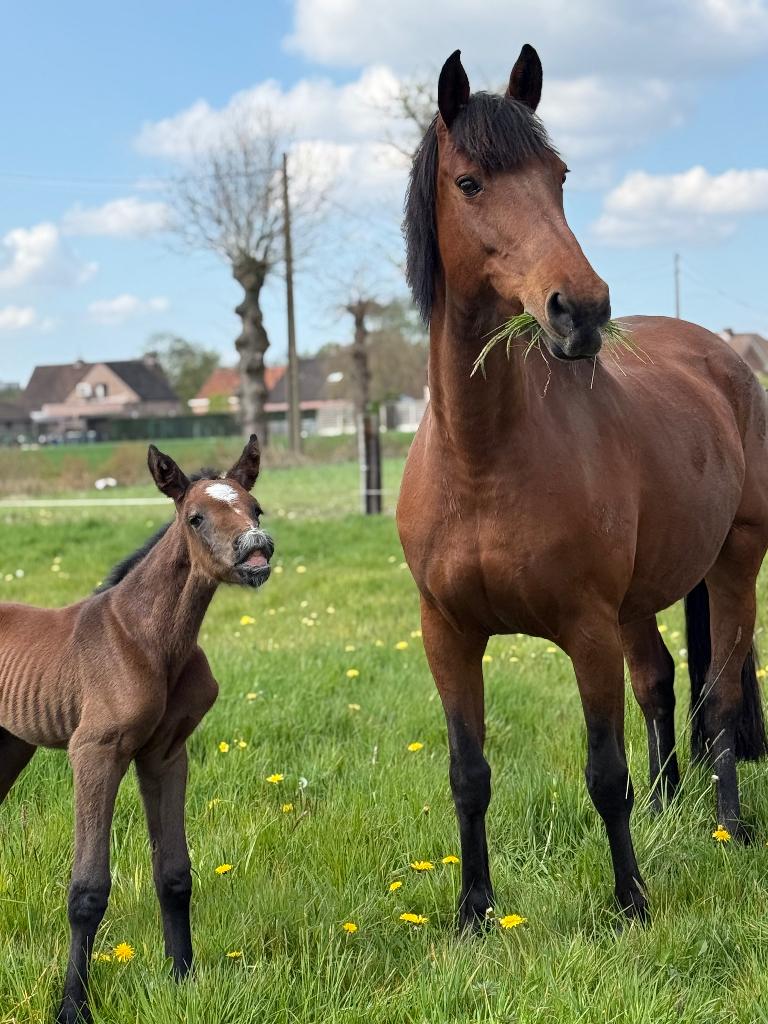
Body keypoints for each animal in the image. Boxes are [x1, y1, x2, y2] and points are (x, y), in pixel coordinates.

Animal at [0, 437, 273, 1023]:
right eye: (195, 517)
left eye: (255, 508)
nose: (257, 550)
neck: (147, 638)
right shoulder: (95, 752)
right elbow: (87, 889)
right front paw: (72, 1007)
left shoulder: (166, 754)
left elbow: (174, 873)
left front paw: (182, 978)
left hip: (9, 746)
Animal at [396, 45, 768, 928]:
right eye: (470, 182)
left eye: (558, 176)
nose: (584, 310)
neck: (483, 460)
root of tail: (725, 356)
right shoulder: (446, 636)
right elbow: (468, 776)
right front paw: (473, 912)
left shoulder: (587, 630)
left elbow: (605, 775)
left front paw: (631, 902)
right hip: (642, 599)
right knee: (660, 685)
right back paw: (672, 807)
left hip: (735, 561)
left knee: (719, 697)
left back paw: (728, 826)